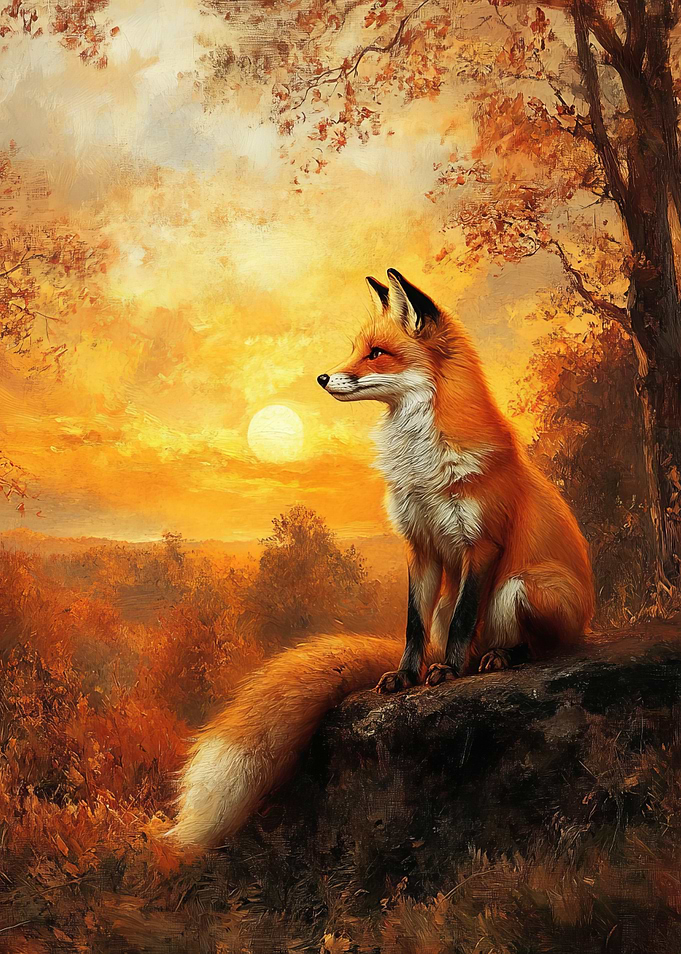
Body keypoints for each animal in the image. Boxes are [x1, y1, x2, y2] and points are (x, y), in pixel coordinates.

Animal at [167, 269, 594, 848]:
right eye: (356, 349)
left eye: (377, 353)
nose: (323, 377)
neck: (419, 462)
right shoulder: (422, 548)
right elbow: (412, 627)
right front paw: (405, 677)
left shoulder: (481, 543)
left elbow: (464, 620)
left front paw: (449, 672)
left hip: (528, 587)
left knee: (538, 644)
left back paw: (499, 659)